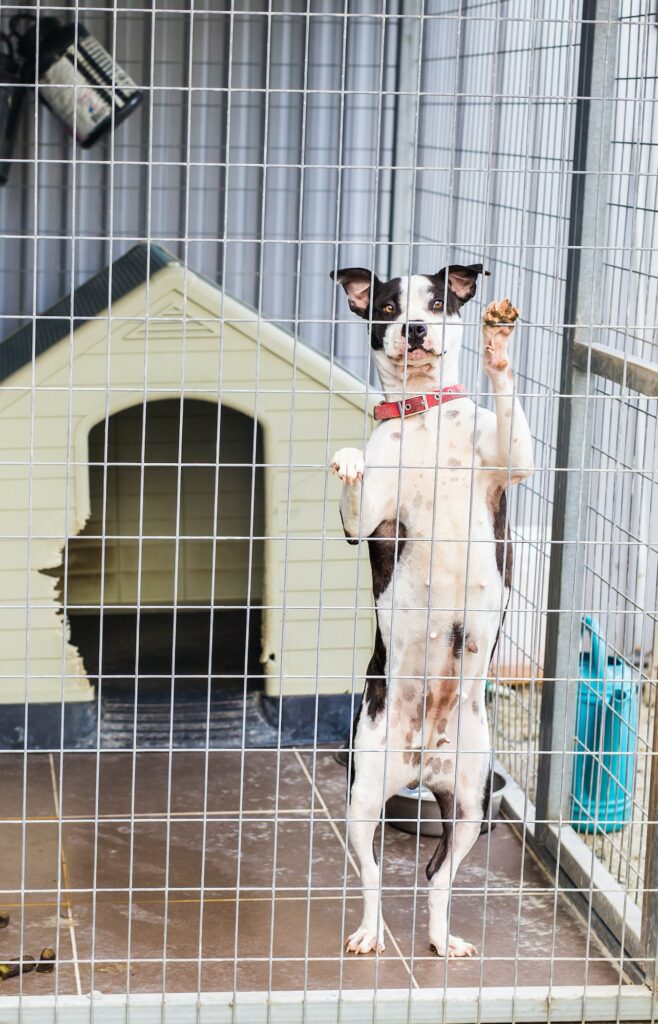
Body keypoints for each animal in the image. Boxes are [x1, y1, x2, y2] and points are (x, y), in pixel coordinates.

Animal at [331, 264, 532, 958]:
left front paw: (498, 348)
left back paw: (445, 941)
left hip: (471, 802)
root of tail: (425, 759)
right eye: (388, 308)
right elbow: (358, 489)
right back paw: (369, 934)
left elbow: (508, 405)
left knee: (439, 878)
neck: (422, 416)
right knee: (372, 877)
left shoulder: (511, 461)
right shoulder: (367, 525)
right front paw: (350, 459)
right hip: (364, 796)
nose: (415, 330)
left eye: (438, 302)